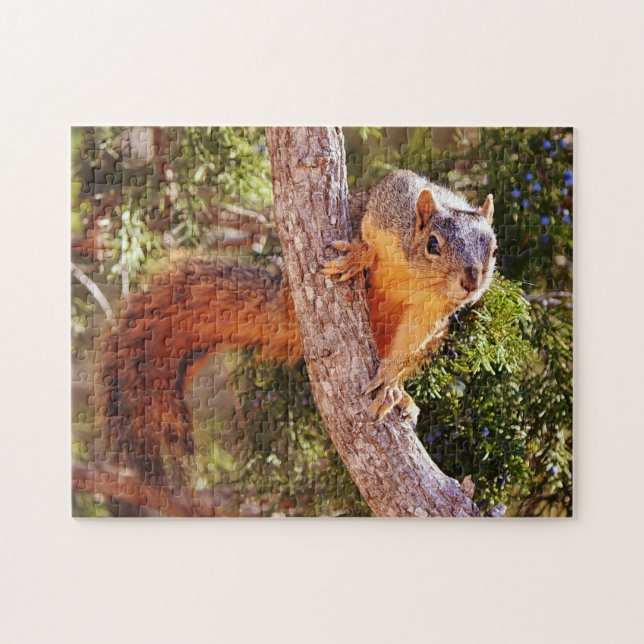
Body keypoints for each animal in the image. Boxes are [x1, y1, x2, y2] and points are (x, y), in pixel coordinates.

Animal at [95, 169, 497, 483]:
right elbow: (368, 231)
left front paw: (389, 383)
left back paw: (403, 397)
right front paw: (359, 255)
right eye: (433, 244)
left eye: (493, 249)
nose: (471, 282)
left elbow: (409, 344)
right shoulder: (390, 206)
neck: (416, 277)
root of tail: (283, 305)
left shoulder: (431, 316)